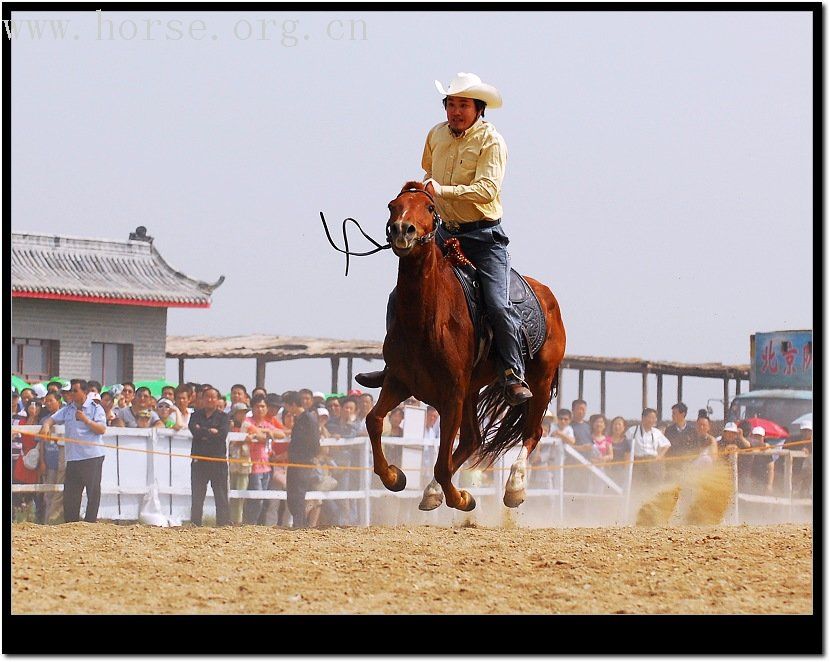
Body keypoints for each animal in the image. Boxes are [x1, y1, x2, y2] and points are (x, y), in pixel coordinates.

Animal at [368, 182, 568, 512]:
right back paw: (433, 492)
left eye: (430, 207)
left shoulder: (452, 395)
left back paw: (514, 487)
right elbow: (373, 421)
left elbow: (442, 463)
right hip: (472, 390)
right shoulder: (399, 381)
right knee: (472, 440)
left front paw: (460, 498)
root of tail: (547, 296)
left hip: (539, 379)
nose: (402, 230)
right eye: (392, 206)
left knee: (532, 432)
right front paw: (394, 477)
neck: (427, 320)